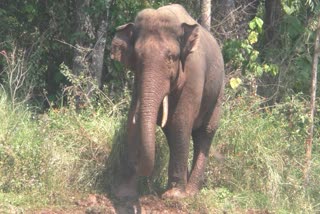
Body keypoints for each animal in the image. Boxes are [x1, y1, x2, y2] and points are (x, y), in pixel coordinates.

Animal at [111, 4, 224, 200]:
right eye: (138, 58)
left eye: (171, 57)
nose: (138, 167)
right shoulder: (138, 82)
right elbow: (133, 119)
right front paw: (124, 193)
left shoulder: (194, 74)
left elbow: (181, 120)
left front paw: (175, 196)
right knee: (174, 132)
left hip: (218, 94)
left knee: (205, 133)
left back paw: (191, 192)